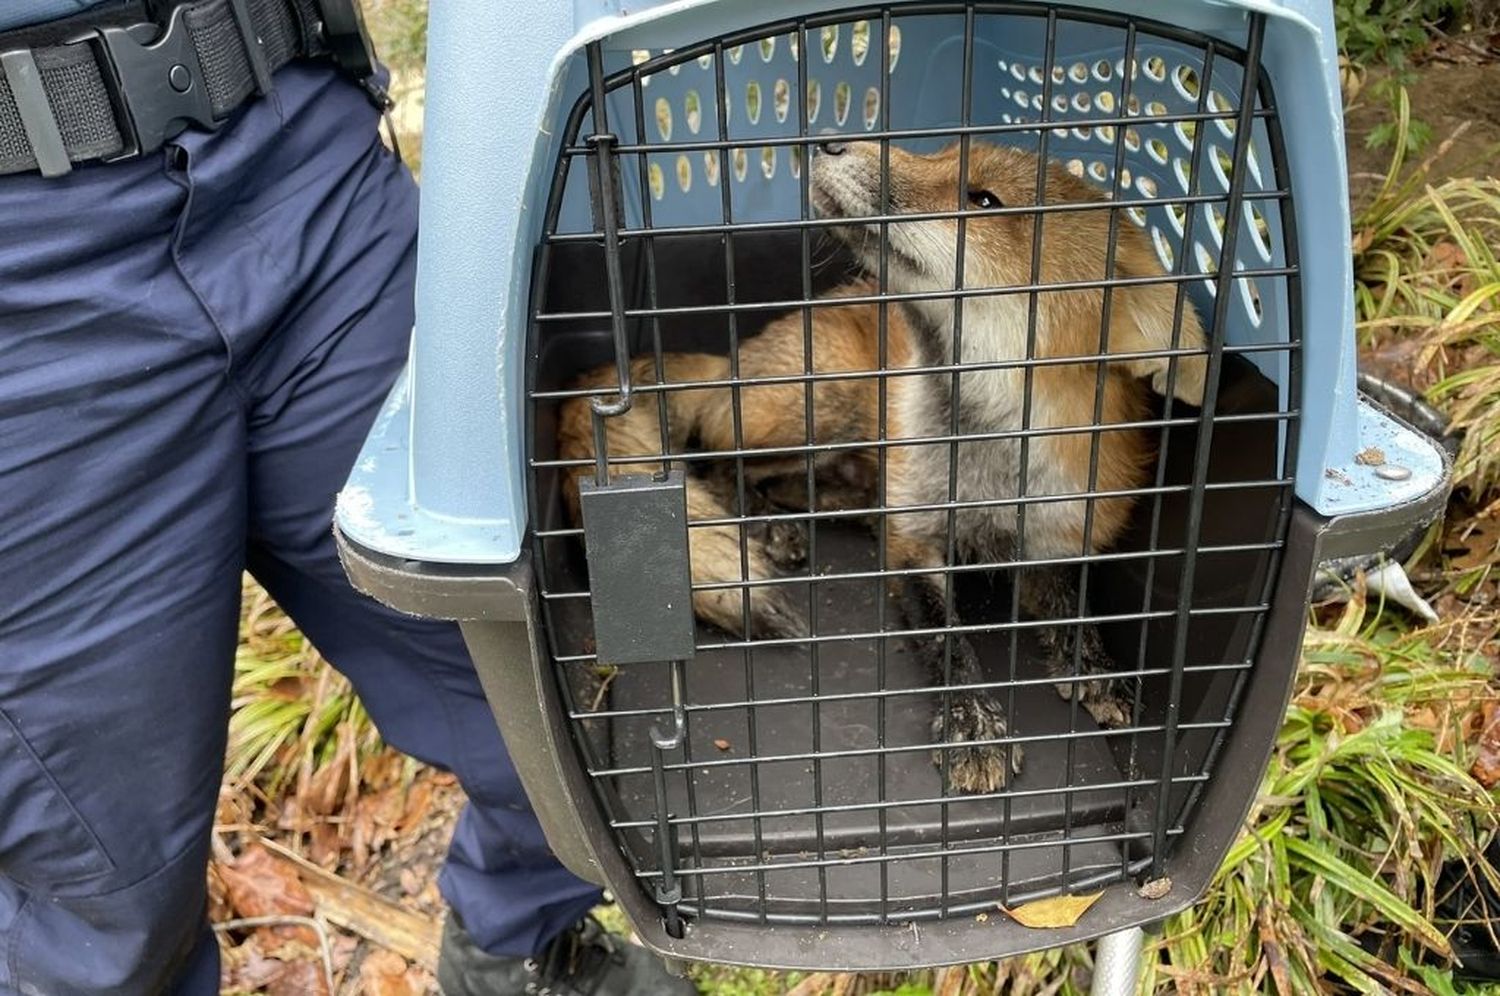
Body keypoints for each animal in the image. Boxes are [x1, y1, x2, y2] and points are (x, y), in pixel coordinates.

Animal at [558, 138, 1200, 792]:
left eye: (984, 200)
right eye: (941, 152)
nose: (830, 140)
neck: (986, 467)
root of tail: (732, 359)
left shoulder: (1059, 532)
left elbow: (1076, 604)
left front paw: (1096, 667)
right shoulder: (913, 541)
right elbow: (948, 637)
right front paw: (973, 722)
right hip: (821, 406)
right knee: (715, 462)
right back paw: (770, 526)